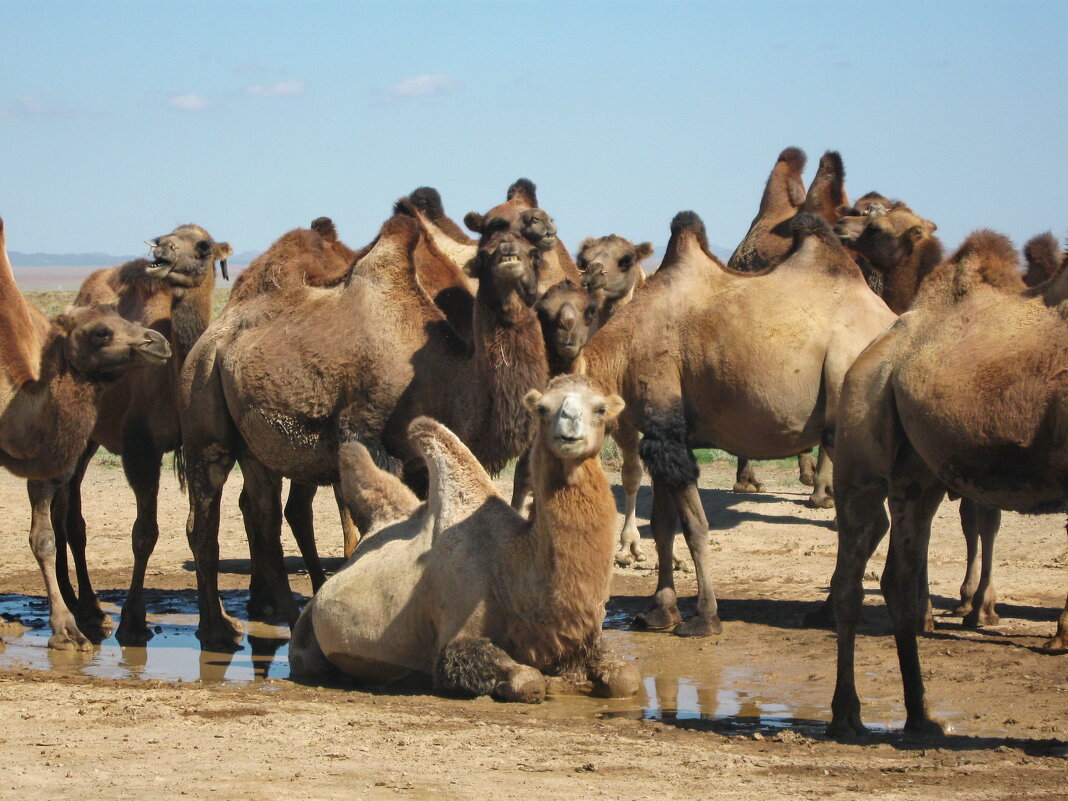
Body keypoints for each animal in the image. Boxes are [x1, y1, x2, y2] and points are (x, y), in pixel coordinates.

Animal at [290, 375, 640, 700]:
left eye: (600, 408)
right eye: (543, 409)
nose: (568, 428)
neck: (514, 571)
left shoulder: (582, 642)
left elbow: (628, 678)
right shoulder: (456, 633)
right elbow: (528, 681)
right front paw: (548, 684)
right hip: (306, 635)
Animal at [580, 210, 897, 636]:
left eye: (625, 259)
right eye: (583, 256)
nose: (589, 276)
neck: (623, 345)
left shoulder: (665, 421)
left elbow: (695, 527)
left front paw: (704, 617)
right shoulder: (663, 434)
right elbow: (663, 525)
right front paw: (659, 612)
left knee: (864, 522)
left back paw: (833, 610)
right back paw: (832, 608)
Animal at [828, 227, 1068, 739]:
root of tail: (877, 349)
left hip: (919, 473)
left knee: (896, 575)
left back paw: (919, 716)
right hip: (862, 441)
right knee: (851, 576)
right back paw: (848, 715)